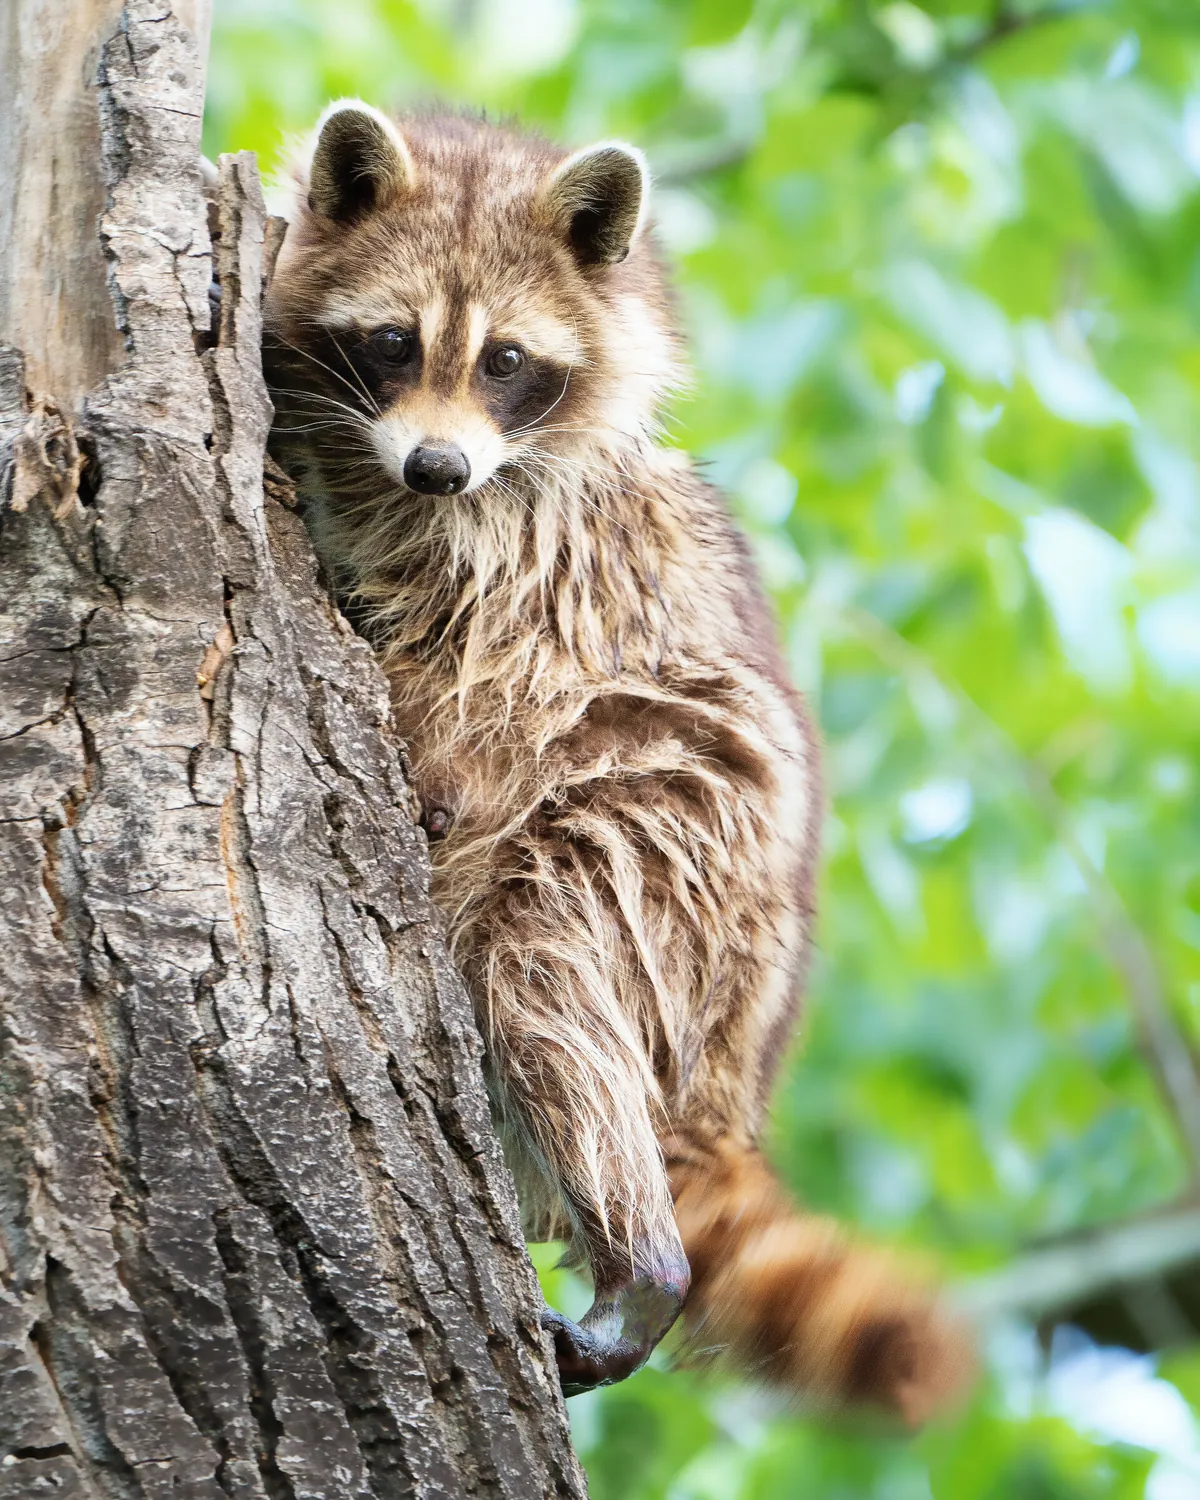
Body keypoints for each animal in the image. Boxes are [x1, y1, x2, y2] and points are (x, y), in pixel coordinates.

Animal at [263, 100, 969, 1417]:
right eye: (391, 341)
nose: (436, 466)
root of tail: (735, 1083)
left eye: (506, 360)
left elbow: (448, 638)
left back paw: (644, 1264)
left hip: (661, 830)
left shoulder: (527, 543)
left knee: (546, 978)